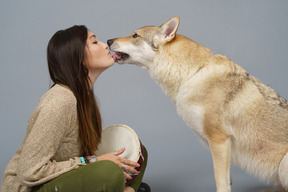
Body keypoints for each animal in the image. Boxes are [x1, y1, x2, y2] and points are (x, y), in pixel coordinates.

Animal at [107, 16, 288, 192]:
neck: (193, 73)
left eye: (135, 35)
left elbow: (220, 181)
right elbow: (226, 177)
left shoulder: (218, 139)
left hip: (283, 164)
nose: (108, 40)